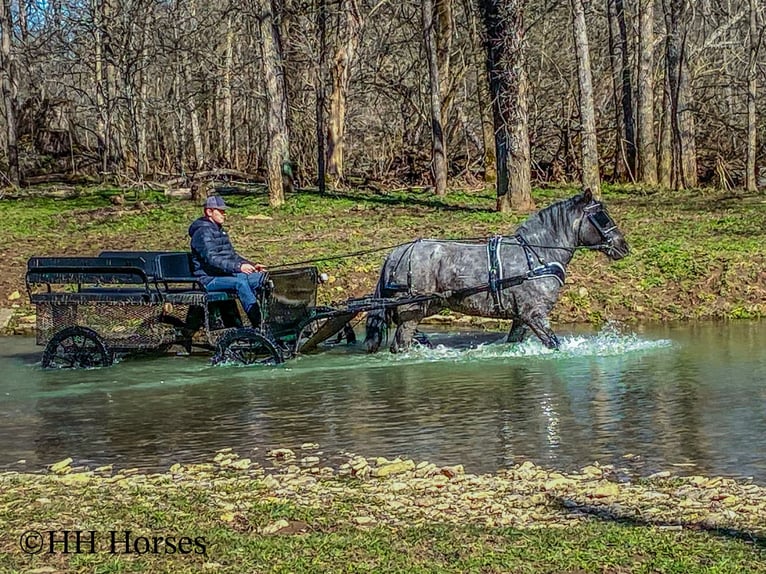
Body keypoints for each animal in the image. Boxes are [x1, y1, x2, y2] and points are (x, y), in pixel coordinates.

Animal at [364, 189, 629, 353]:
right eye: (602, 217)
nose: (623, 246)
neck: (537, 255)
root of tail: (397, 253)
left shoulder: (521, 318)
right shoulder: (535, 314)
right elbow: (554, 343)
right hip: (412, 311)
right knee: (401, 345)